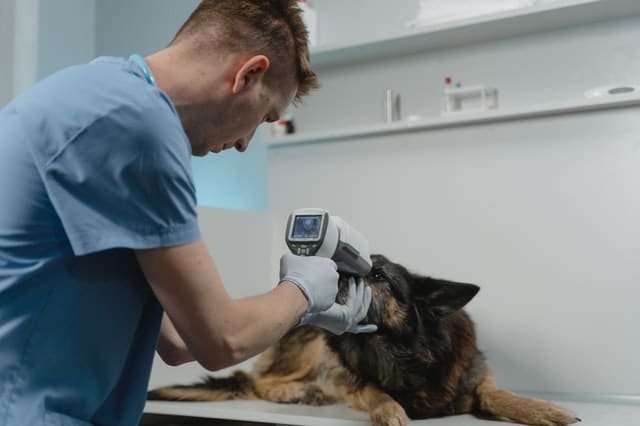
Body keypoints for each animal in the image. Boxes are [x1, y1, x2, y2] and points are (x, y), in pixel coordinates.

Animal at [149, 255, 580, 424]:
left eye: (378, 275)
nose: (328, 267)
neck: (404, 355)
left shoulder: (472, 376)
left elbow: (497, 393)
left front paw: (543, 409)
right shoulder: (351, 378)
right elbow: (375, 392)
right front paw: (390, 411)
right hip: (312, 346)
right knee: (258, 382)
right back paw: (295, 392)